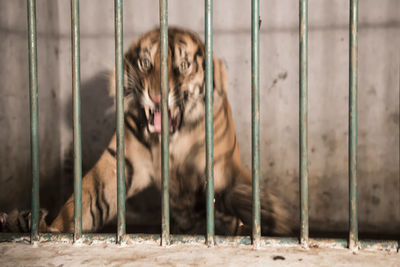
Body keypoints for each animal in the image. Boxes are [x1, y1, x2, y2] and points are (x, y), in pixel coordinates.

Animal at [1, 27, 292, 237]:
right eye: (144, 63)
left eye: (183, 66)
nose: (156, 96)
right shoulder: (118, 163)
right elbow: (83, 202)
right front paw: (49, 229)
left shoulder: (219, 166)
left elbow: (227, 196)